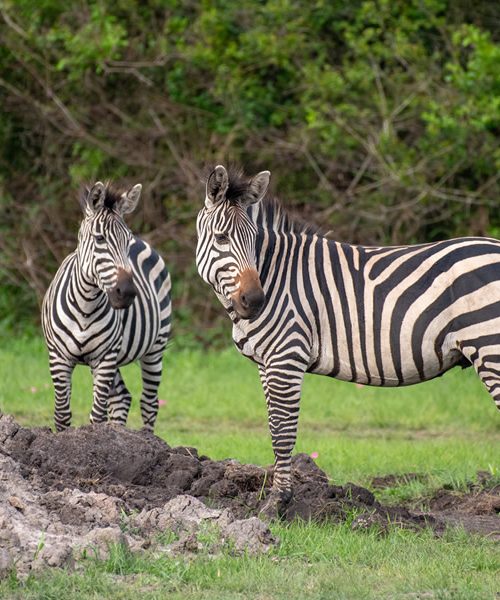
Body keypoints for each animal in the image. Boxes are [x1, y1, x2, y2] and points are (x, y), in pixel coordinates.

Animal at [43, 180, 172, 434]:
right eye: (100, 239)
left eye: (127, 241)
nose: (128, 292)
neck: (86, 305)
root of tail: (145, 243)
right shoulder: (58, 357)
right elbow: (62, 415)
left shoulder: (105, 357)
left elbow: (96, 416)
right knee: (122, 398)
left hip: (155, 347)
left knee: (149, 403)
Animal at [196, 164, 500, 516]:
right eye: (221, 237)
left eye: (254, 240)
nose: (256, 301)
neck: (275, 274)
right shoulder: (266, 361)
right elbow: (274, 426)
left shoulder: (286, 356)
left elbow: (283, 431)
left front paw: (277, 504)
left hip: (490, 347)